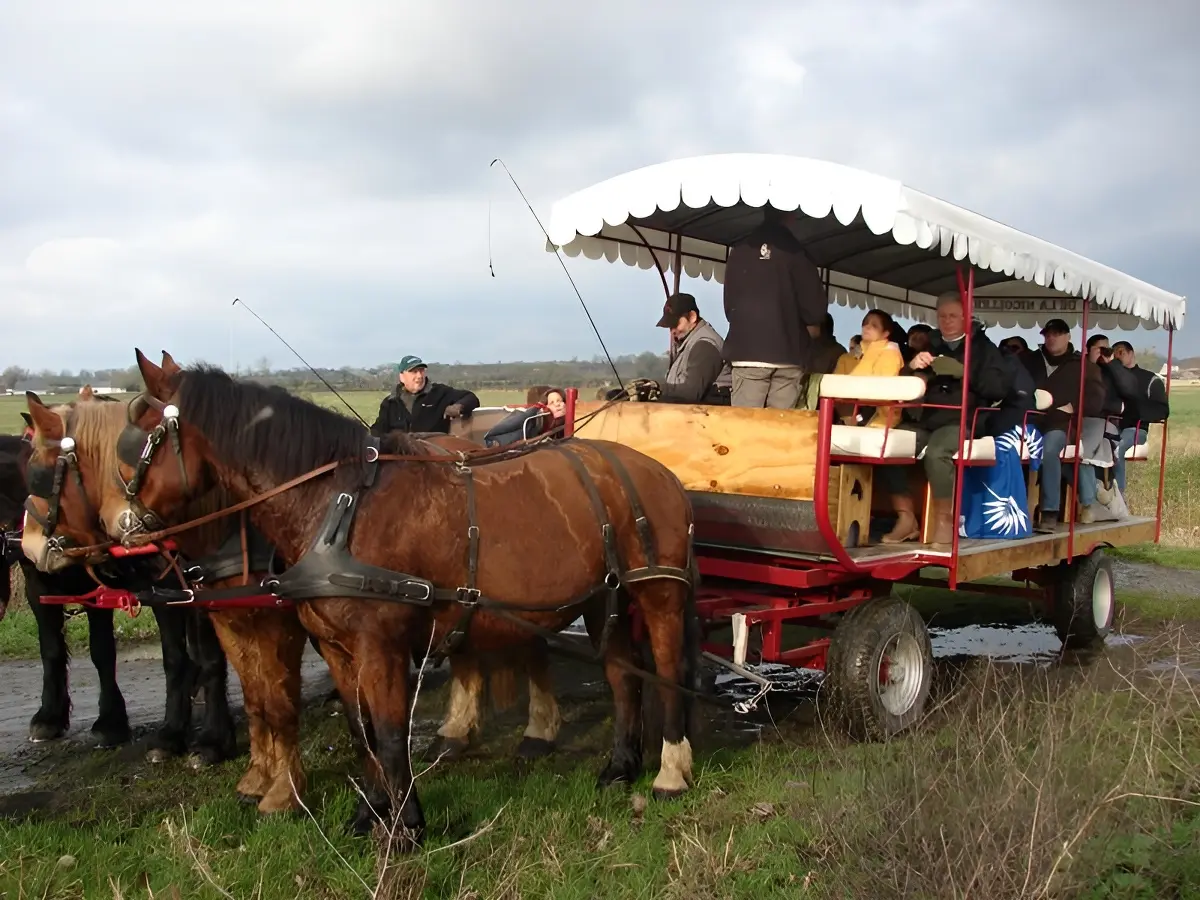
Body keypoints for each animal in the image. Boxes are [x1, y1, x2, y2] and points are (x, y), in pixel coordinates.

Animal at [98, 349, 699, 844]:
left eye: (142, 438)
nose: (116, 531)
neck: (337, 507)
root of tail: (660, 474)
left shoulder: (380, 645)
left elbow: (389, 734)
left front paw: (407, 826)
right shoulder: (337, 649)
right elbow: (361, 731)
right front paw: (369, 814)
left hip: (659, 594)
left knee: (666, 669)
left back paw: (670, 770)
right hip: (605, 600)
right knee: (622, 673)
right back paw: (621, 766)